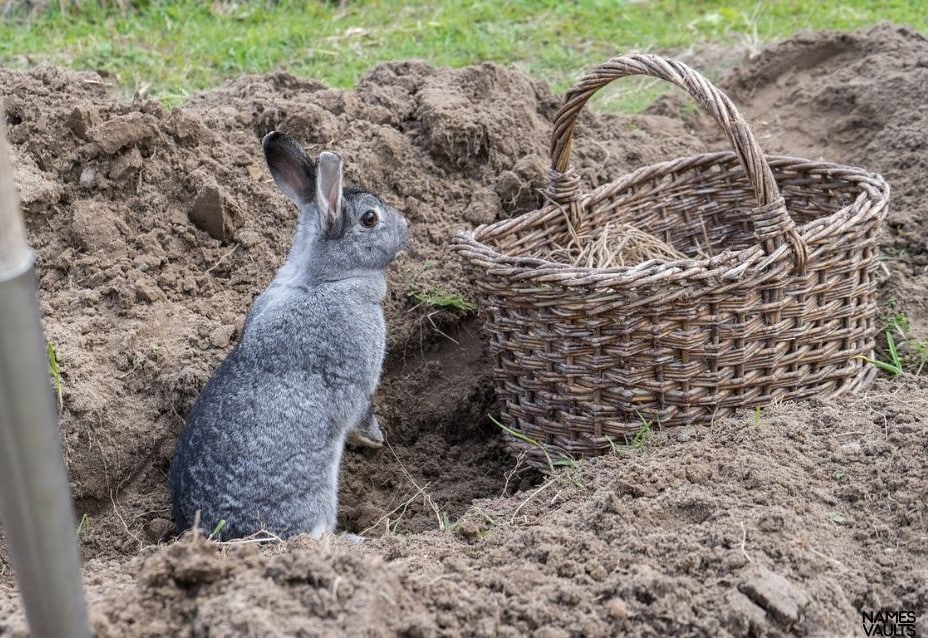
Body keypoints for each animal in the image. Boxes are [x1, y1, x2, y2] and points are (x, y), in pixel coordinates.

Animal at [171, 132, 410, 544]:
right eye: (370, 218)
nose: (407, 225)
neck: (326, 279)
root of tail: (223, 537)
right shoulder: (361, 379)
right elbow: (364, 411)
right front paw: (375, 440)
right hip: (315, 500)